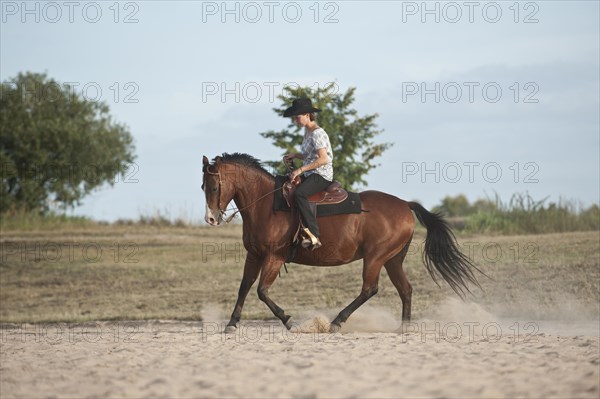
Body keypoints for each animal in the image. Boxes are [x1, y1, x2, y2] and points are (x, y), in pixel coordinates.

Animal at [203, 153, 482, 334]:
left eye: (215, 187)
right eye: (204, 185)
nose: (211, 219)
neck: (268, 204)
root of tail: (405, 204)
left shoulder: (274, 257)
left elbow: (262, 291)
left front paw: (289, 321)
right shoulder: (254, 255)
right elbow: (244, 287)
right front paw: (231, 323)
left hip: (375, 257)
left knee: (369, 289)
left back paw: (337, 322)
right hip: (392, 259)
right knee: (405, 289)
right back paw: (402, 328)